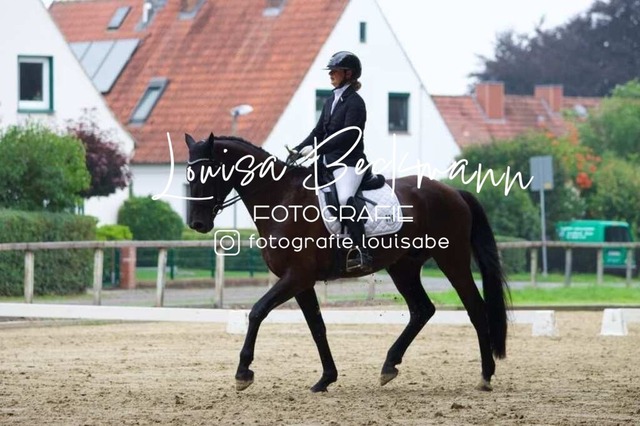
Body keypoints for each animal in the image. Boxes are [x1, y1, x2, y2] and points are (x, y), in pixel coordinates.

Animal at [185, 133, 510, 393]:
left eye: (207, 174)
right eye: (187, 176)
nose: (197, 224)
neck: (282, 198)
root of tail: (454, 192)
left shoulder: (296, 277)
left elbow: (257, 312)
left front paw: (243, 373)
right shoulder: (301, 282)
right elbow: (317, 326)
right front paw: (326, 378)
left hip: (451, 259)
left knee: (475, 309)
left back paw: (485, 376)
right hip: (403, 266)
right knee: (422, 310)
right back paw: (389, 366)